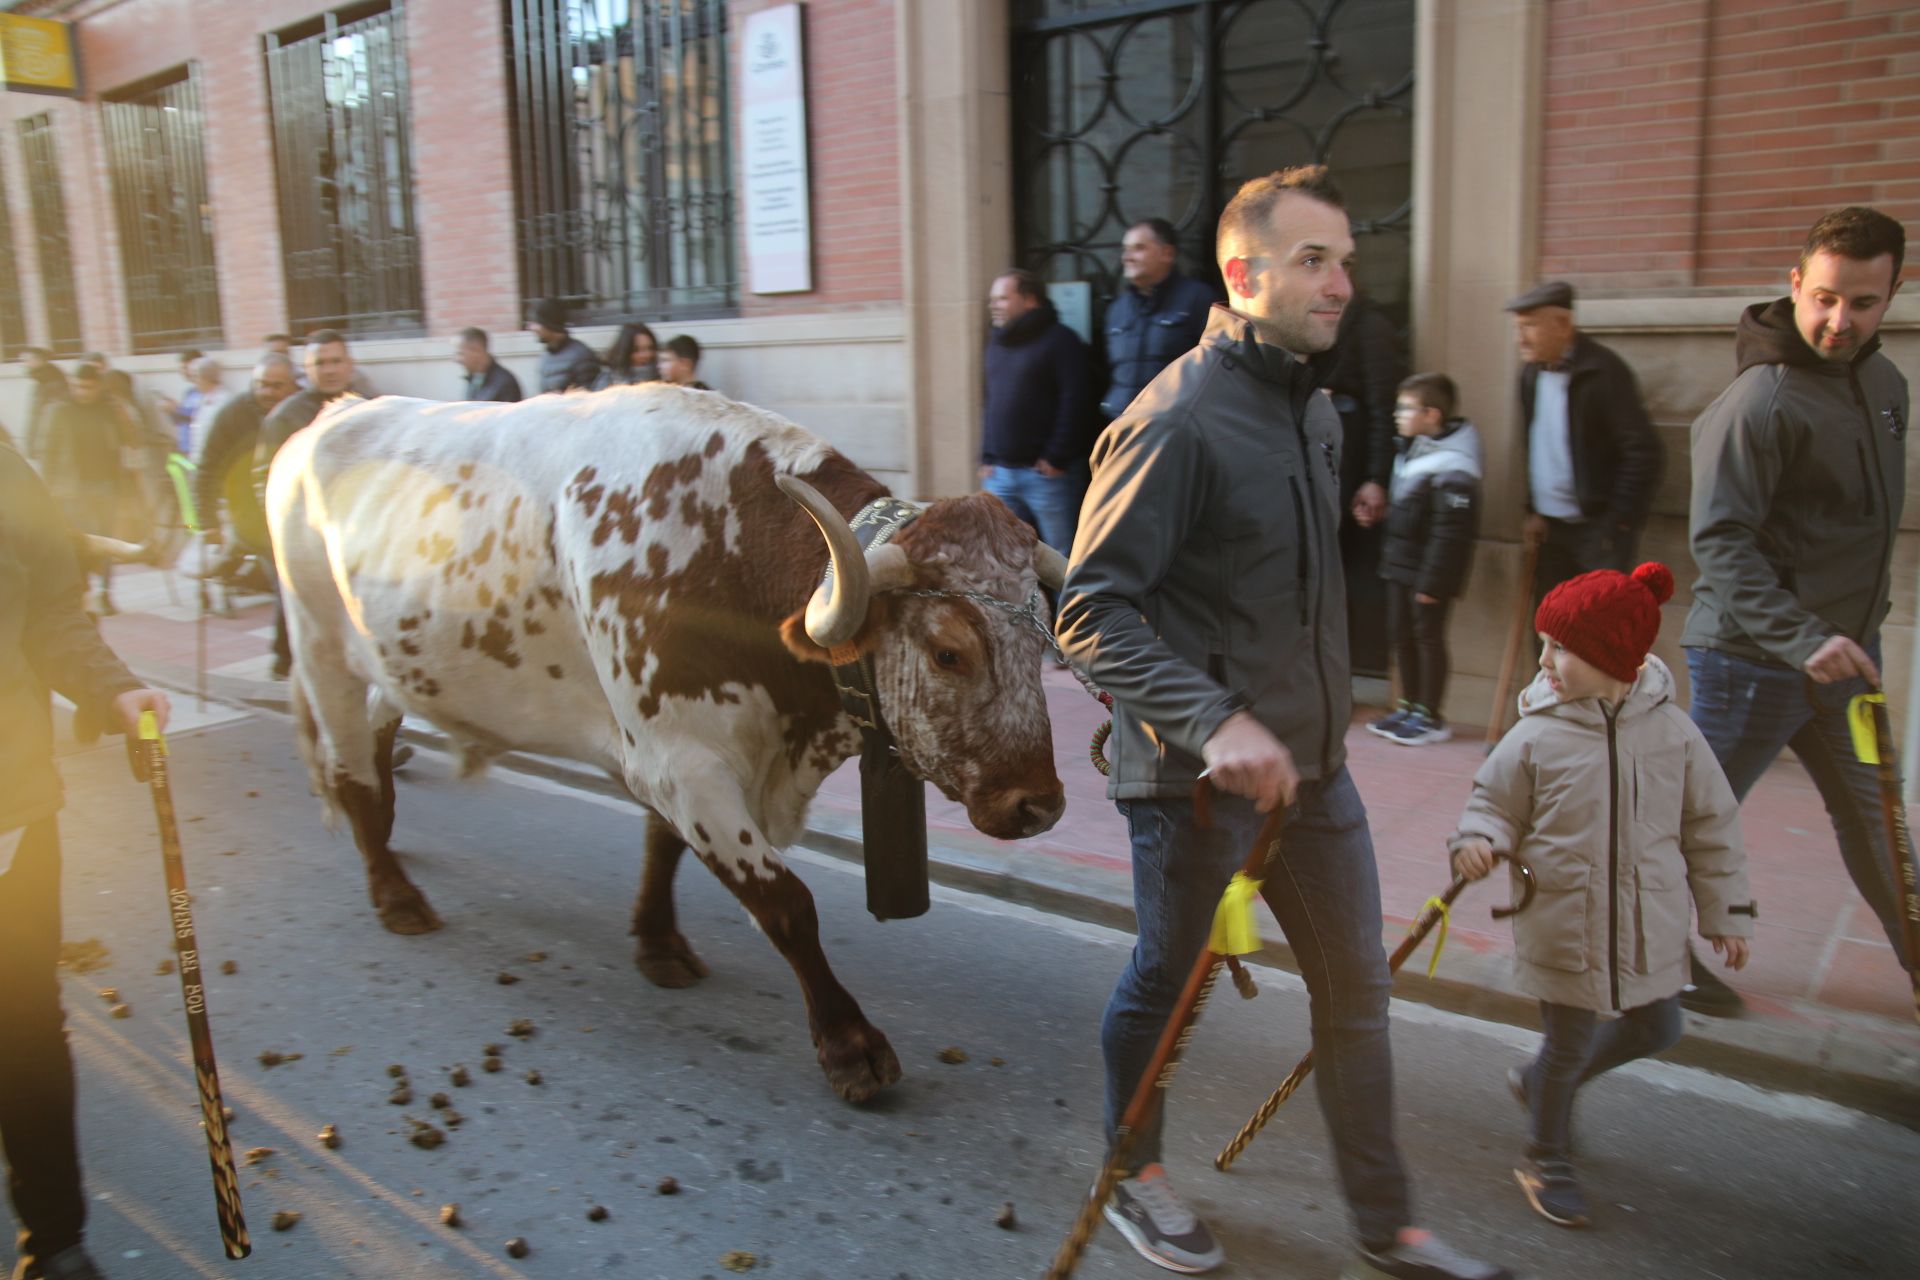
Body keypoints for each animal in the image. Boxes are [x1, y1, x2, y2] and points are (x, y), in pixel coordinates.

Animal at [259, 383, 1067, 1105]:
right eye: (949, 653)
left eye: (1041, 639)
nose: (1042, 805)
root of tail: (326, 416)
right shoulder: (684, 763)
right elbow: (785, 901)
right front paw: (850, 1047)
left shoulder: (674, 758)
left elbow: (662, 846)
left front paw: (657, 944)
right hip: (321, 649)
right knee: (350, 766)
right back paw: (394, 893)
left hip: (385, 662)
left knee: (376, 738)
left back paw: (387, 839)